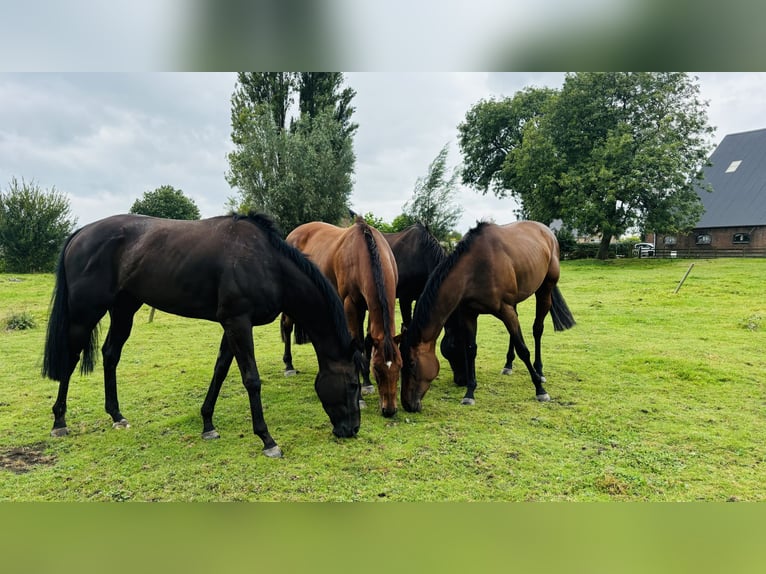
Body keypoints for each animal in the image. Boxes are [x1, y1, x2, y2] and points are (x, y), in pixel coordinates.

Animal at [40, 212, 364, 460]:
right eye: (352, 384)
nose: (352, 430)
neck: (267, 263)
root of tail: (81, 232)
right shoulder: (238, 322)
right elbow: (251, 379)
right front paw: (267, 440)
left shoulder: (230, 325)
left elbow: (220, 370)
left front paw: (208, 423)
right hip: (84, 313)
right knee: (70, 358)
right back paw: (59, 421)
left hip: (123, 309)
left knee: (110, 354)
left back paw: (116, 416)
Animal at [280, 217, 402, 418]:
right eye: (377, 369)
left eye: (400, 366)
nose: (389, 410)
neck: (364, 251)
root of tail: (292, 234)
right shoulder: (350, 304)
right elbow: (357, 343)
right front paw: (360, 397)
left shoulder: (368, 307)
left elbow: (367, 341)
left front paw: (366, 383)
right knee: (287, 326)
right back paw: (289, 366)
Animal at [402, 220, 576, 414]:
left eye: (411, 363)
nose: (407, 404)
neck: (474, 269)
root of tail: (547, 231)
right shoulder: (470, 314)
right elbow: (471, 349)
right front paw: (469, 393)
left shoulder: (505, 309)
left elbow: (523, 349)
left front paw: (540, 389)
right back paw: (508, 365)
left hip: (544, 290)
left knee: (537, 329)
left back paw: (540, 371)